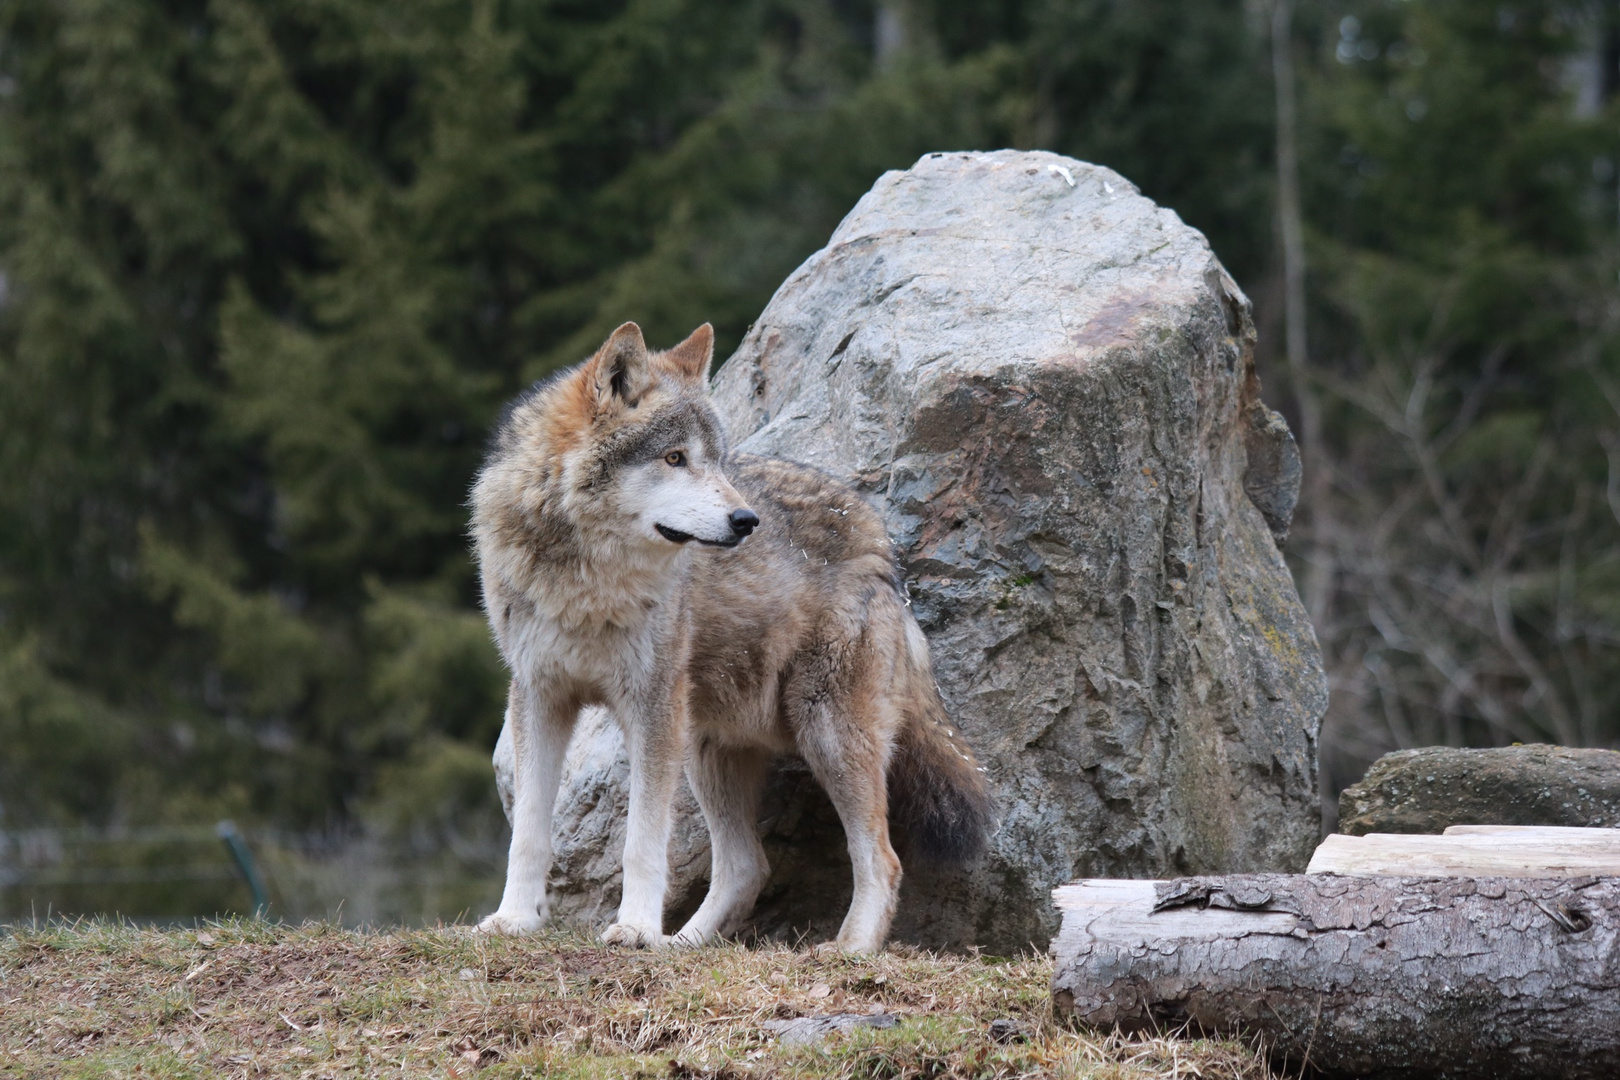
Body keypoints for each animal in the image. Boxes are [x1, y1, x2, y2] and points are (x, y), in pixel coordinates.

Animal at [473, 323, 984, 952]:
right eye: (674, 458)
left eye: (714, 460)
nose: (746, 521)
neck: (588, 580)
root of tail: (883, 548)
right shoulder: (539, 697)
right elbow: (528, 833)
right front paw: (513, 921)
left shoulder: (651, 707)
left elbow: (642, 842)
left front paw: (635, 929)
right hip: (708, 750)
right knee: (748, 867)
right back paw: (681, 946)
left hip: (826, 734)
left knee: (881, 860)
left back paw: (848, 952)